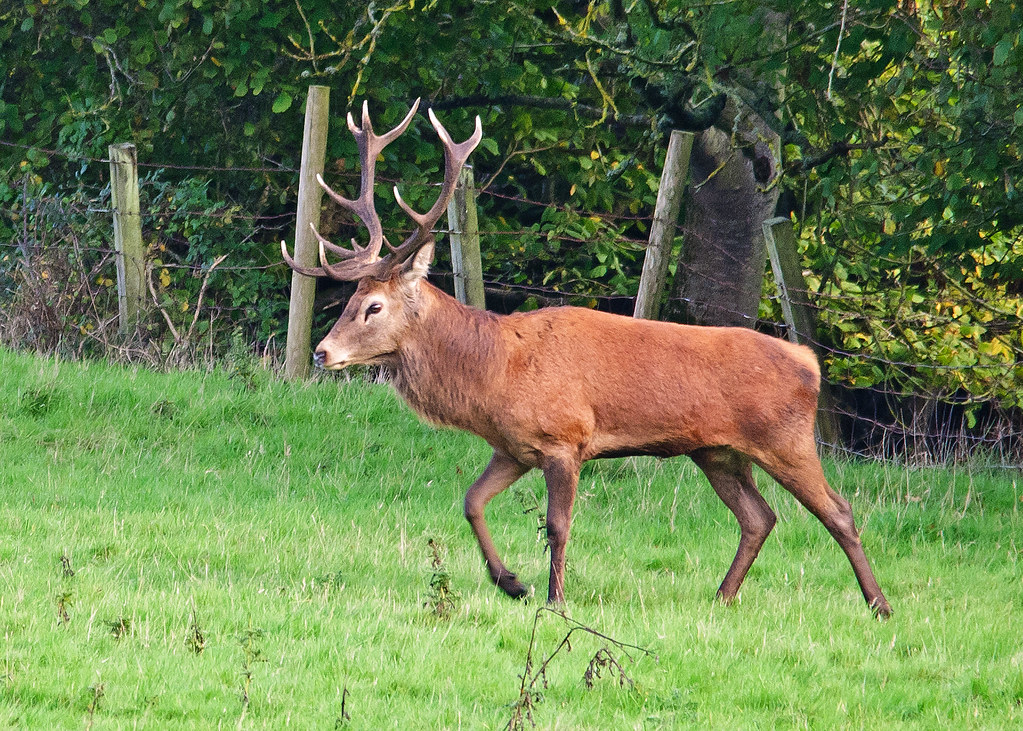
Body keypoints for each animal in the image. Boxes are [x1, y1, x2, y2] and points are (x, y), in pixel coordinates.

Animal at [281, 99, 892, 619]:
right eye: (352, 300)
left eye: (374, 306)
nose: (322, 352)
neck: (495, 372)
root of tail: (810, 362)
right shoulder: (514, 446)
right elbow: (471, 502)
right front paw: (512, 583)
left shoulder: (565, 438)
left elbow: (558, 524)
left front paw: (555, 600)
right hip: (718, 452)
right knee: (759, 517)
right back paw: (722, 597)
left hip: (785, 438)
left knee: (838, 510)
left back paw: (879, 605)